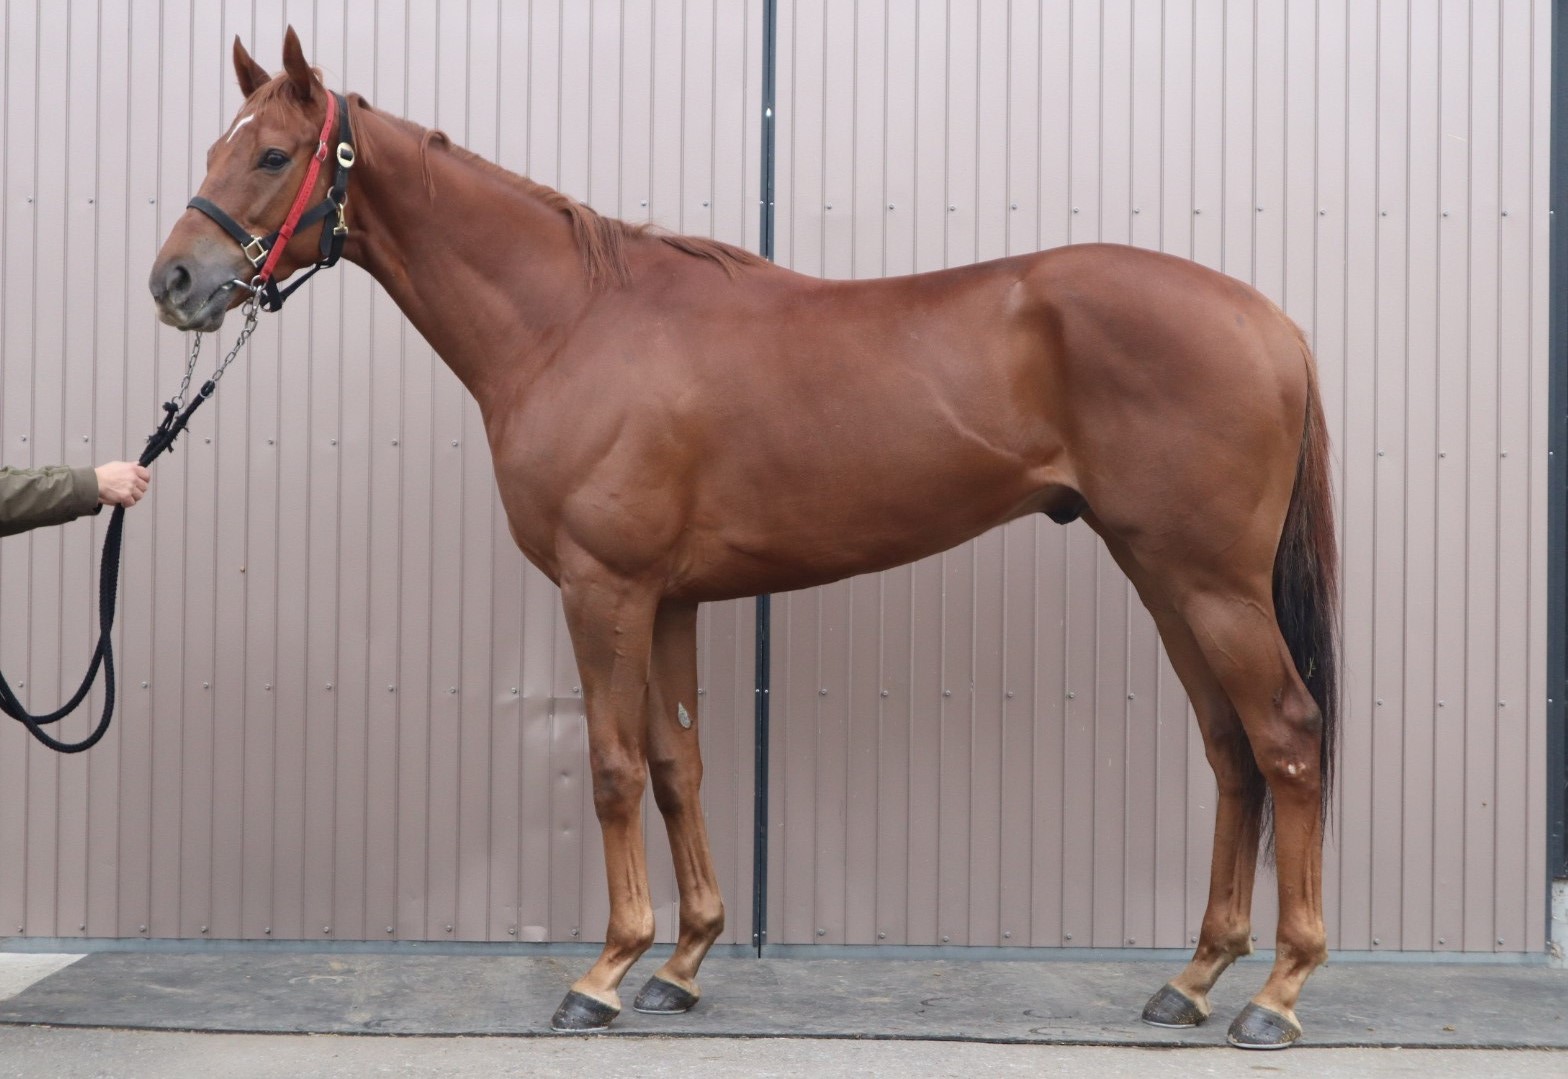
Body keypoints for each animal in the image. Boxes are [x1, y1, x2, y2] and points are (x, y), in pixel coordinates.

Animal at [148, 28, 1339, 1050]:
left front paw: (603, 974)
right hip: (1164, 577)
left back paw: (1275, 994)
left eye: (273, 152)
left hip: (1211, 583)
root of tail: (1271, 321)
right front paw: (679, 964)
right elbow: (680, 764)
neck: (570, 323)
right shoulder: (670, 597)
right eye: (214, 147)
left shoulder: (604, 589)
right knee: (1230, 751)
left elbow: (613, 767)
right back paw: (1192, 978)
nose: (175, 282)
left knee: (1285, 735)